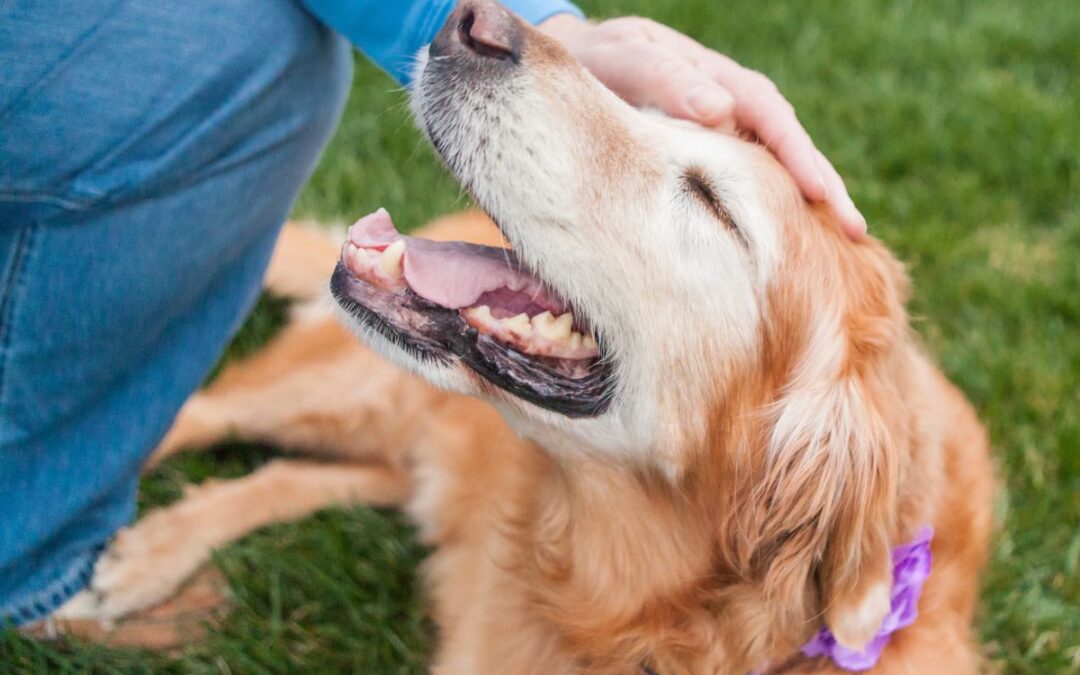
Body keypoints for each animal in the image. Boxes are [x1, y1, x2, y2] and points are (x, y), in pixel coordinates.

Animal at [54, 2, 989, 669]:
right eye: (650, 108)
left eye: (712, 201)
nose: (474, 22)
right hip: (349, 390)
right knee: (189, 413)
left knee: (292, 474)